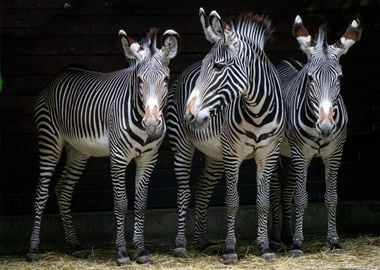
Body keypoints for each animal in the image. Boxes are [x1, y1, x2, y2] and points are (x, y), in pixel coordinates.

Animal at [26, 28, 180, 266]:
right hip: (49, 140)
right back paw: (33, 249)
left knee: (63, 190)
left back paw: (75, 245)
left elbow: (141, 203)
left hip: (78, 150)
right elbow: (120, 203)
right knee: (41, 193)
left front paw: (141, 251)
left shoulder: (148, 158)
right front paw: (122, 252)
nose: (153, 124)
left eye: (166, 79)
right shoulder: (118, 157)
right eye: (139, 79)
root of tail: (59, 75)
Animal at [166, 7, 284, 264]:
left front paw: (265, 247)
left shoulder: (268, 154)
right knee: (183, 192)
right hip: (183, 145)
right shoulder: (232, 154)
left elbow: (263, 202)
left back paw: (202, 241)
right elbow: (231, 201)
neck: (257, 111)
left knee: (202, 188)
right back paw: (180, 245)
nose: (189, 114)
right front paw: (230, 249)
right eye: (206, 66)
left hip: (215, 154)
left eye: (219, 67)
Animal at [270, 15, 362, 256]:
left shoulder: (335, 153)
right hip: (276, 150)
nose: (326, 126)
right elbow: (301, 198)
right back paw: (275, 238)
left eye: (340, 78)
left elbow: (332, 197)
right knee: (275, 190)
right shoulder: (301, 153)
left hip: (289, 155)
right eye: (311, 78)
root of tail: (284, 63)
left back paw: (285, 235)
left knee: (287, 190)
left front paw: (334, 241)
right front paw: (297, 244)